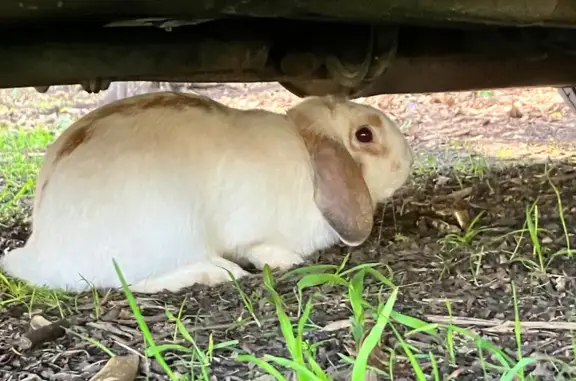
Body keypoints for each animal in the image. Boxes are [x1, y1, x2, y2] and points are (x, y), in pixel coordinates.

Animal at [0, 90, 414, 292]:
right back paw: (219, 273)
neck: (306, 151)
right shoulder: (250, 229)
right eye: (365, 135)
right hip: (166, 230)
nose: (408, 160)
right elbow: (258, 247)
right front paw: (286, 261)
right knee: (133, 282)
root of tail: (42, 254)